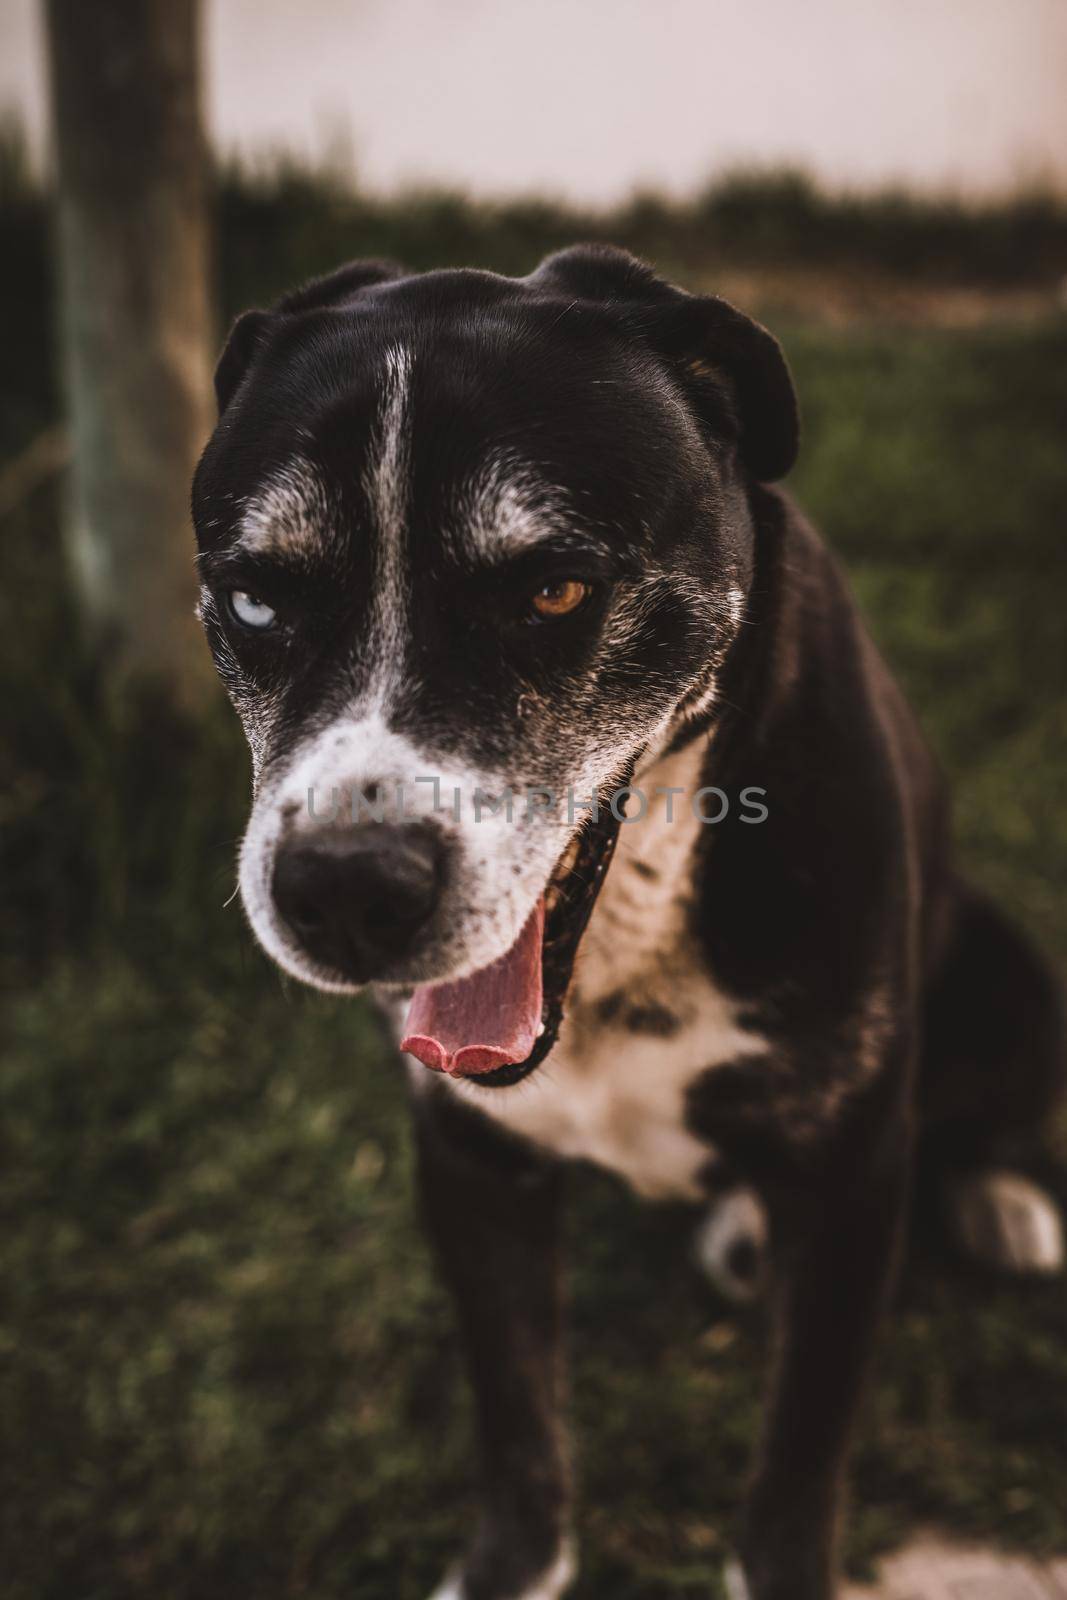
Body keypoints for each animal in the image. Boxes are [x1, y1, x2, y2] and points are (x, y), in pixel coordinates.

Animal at [187, 243, 1062, 1593]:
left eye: (555, 588)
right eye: (255, 599)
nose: (345, 890)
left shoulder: (848, 1181)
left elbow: (795, 1467)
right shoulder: (471, 1164)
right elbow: (516, 1416)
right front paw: (512, 1562)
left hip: (1011, 973)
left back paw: (1001, 1202)